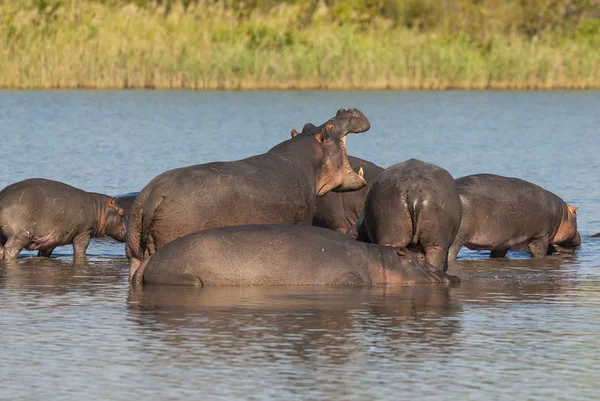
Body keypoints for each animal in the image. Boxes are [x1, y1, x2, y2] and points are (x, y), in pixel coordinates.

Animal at [126, 108, 370, 272]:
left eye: (309, 125)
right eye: (330, 127)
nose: (345, 110)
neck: (308, 157)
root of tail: (154, 195)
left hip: (134, 251)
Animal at [448, 173, 580, 258]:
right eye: (576, 217)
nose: (579, 236)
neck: (561, 215)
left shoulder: (502, 241)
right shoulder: (540, 235)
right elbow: (539, 253)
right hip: (456, 238)